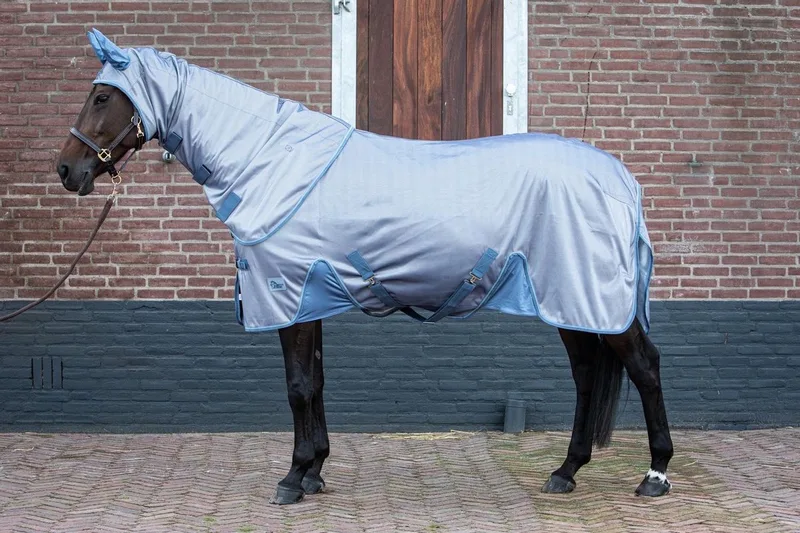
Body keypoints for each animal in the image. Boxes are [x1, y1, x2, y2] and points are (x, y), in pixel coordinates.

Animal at [55, 30, 673, 504]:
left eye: (103, 97)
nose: (67, 169)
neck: (269, 161)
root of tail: (620, 179)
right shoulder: (311, 300)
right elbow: (317, 383)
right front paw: (315, 470)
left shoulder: (290, 295)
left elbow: (298, 387)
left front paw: (293, 478)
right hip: (571, 302)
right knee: (588, 377)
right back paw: (565, 472)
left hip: (592, 299)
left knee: (644, 367)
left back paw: (655, 475)